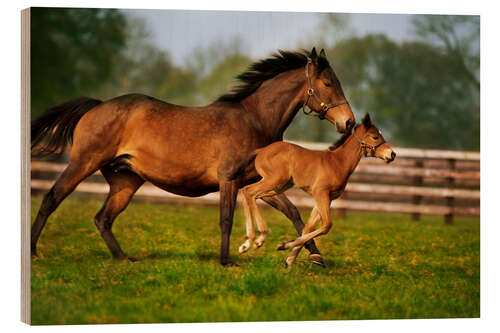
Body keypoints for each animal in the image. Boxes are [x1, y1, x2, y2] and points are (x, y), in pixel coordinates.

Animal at [30, 47, 356, 264]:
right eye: (328, 83)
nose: (349, 122)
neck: (254, 120)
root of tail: (97, 105)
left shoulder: (261, 182)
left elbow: (294, 213)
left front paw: (314, 258)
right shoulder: (230, 179)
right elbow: (226, 218)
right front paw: (228, 260)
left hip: (125, 181)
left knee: (103, 219)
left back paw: (125, 259)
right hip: (83, 163)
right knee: (51, 199)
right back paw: (33, 252)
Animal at [234, 114, 394, 268]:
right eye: (375, 137)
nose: (392, 154)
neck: (337, 162)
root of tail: (261, 150)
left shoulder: (326, 199)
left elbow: (308, 228)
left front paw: (289, 259)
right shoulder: (320, 193)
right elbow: (326, 225)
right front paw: (284, 245)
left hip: (279, 186)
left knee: (250, 194)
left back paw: (249, 242)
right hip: (274, 180)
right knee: (249, 191)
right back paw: (257, 239)